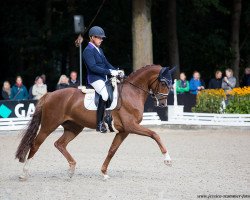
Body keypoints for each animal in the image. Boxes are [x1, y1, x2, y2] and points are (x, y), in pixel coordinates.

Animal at [15, 65, 174, 180]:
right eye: (163, 82)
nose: (163, 104)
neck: (132, 93)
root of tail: (49, 94)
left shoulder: (124, 130)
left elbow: (112, 150)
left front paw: (104, 172)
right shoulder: (131, 126)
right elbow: (154, 134)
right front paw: (167, 159)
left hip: (74, 127)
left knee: (60, 144)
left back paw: (71, 169)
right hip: (48, 126)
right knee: (35, 144)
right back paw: (24, 173)